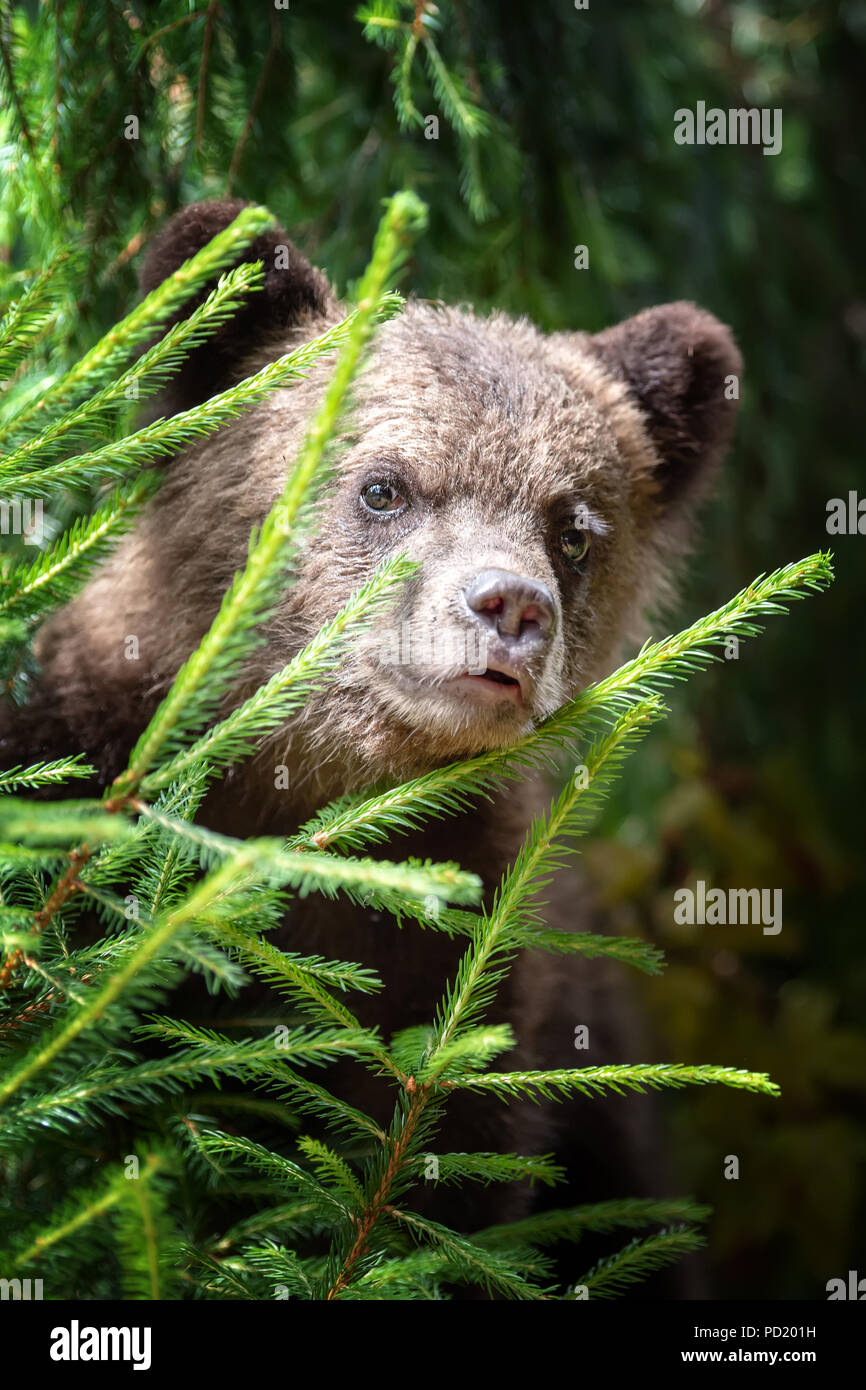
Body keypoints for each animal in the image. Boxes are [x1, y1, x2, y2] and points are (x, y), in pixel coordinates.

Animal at [0, 200, 741, 1280]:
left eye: (573, 527)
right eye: (385, 487)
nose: (509, 607)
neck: (303, 793)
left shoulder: (463, 974)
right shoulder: (69, 754)